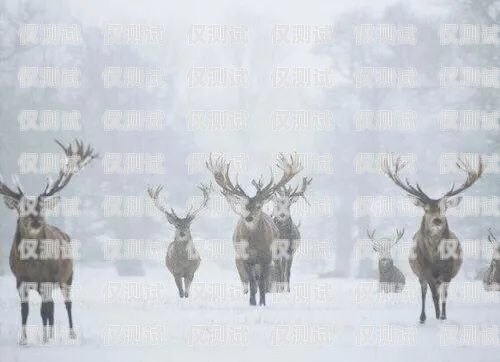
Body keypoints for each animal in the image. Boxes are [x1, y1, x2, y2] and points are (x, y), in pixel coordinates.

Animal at [1, 139, 98, 346]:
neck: (32, 266)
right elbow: (25, 311)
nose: (37, 221)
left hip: (67, 278)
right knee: (51, 307)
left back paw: (70, 334)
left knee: (66, 304)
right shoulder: (20, 280)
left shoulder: (47, 279)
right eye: (22, 208)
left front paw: (45, 341)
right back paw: (51, 335)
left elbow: (44, 311)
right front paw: (23, 340)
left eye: (41, 207)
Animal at [206, 153, 300, 306]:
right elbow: (251, 282)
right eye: (244, 205)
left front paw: (262, 303)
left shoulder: (267, 257)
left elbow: (262, 282)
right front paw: (252, 302)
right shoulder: (245, 258)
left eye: (258, 206)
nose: (249, 217)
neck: (254, 244)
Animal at [382, 156, 484, 322]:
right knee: (424, 292)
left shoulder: (448, 272)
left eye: (444, 208)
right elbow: (433, 295)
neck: (436, 258)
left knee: (440, 293)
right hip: (421, 275)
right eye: (426, 209)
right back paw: (423, 317)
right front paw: (434, 316)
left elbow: (443, 295)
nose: (437, 221)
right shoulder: (425, 271)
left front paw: (442, 316)